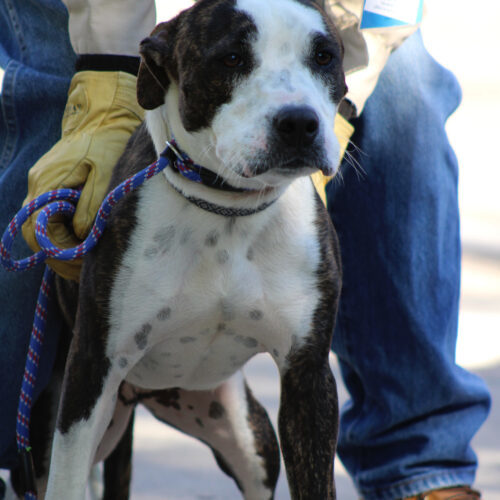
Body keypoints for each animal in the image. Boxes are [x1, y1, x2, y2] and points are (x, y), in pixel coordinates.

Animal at [22, 0, 348, 498]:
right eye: (231, 59)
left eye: (324, 56)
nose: (298, 122)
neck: (228, 212)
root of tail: (140, 395)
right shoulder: (90, 372)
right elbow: (67, 480)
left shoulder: (307, 378)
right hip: (46, 426)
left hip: (250, 436)